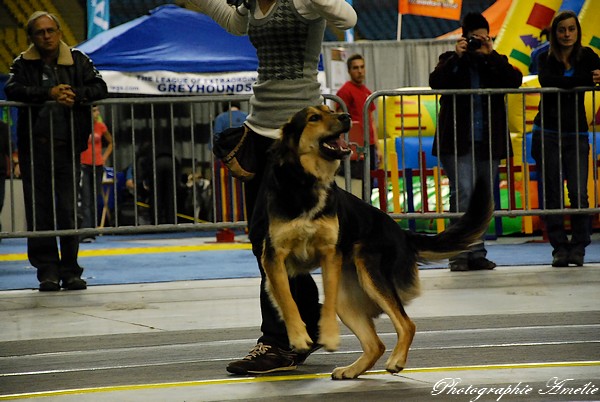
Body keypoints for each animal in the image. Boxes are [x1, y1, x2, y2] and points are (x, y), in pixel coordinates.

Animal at [253, 104, 492, 380]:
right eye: (314, 117)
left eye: (329, 110)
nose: (346, 117)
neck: (307, 182)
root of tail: (399, 231)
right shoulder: (274, 258)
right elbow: (288, 301)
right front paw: (299, 336)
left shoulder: (329, 253)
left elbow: (325, 303)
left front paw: (329, 335)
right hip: (349, 299)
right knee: (376, 343)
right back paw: (352, 370)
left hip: (370, 274)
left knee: (406, 324)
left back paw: (396, 360)